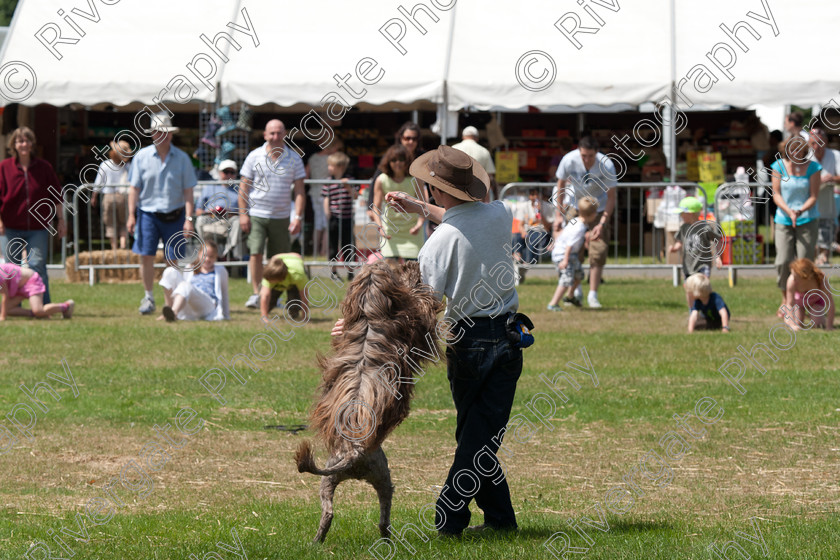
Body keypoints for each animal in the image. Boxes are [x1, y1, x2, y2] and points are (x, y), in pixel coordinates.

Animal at [296, 262, 442, 544]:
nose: (383, 262)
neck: (369, 316)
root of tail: (354, 453)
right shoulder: (415, 331)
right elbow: (422, 308)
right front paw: (414, 279)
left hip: (329, 480)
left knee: (328, 512)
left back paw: (317, 540)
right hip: (384, 477)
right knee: (383, 515)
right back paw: (387, 537)